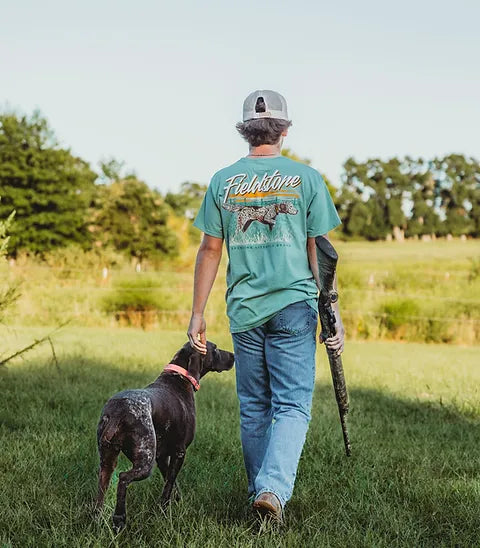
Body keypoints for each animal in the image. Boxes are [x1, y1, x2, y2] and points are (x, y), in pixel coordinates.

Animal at [94, 342, 234, 532]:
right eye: (216, 349)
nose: (234, 356)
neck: (178, 378)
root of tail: (118, 412)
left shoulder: (161, 456)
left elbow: (171, 481)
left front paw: (177, 501)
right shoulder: (179, 453)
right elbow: (169, 484)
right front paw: (164, 510)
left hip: (107, 462)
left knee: (101, 494)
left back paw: (97, 518)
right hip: (145, 462)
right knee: (123, 479)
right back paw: (119, 518)